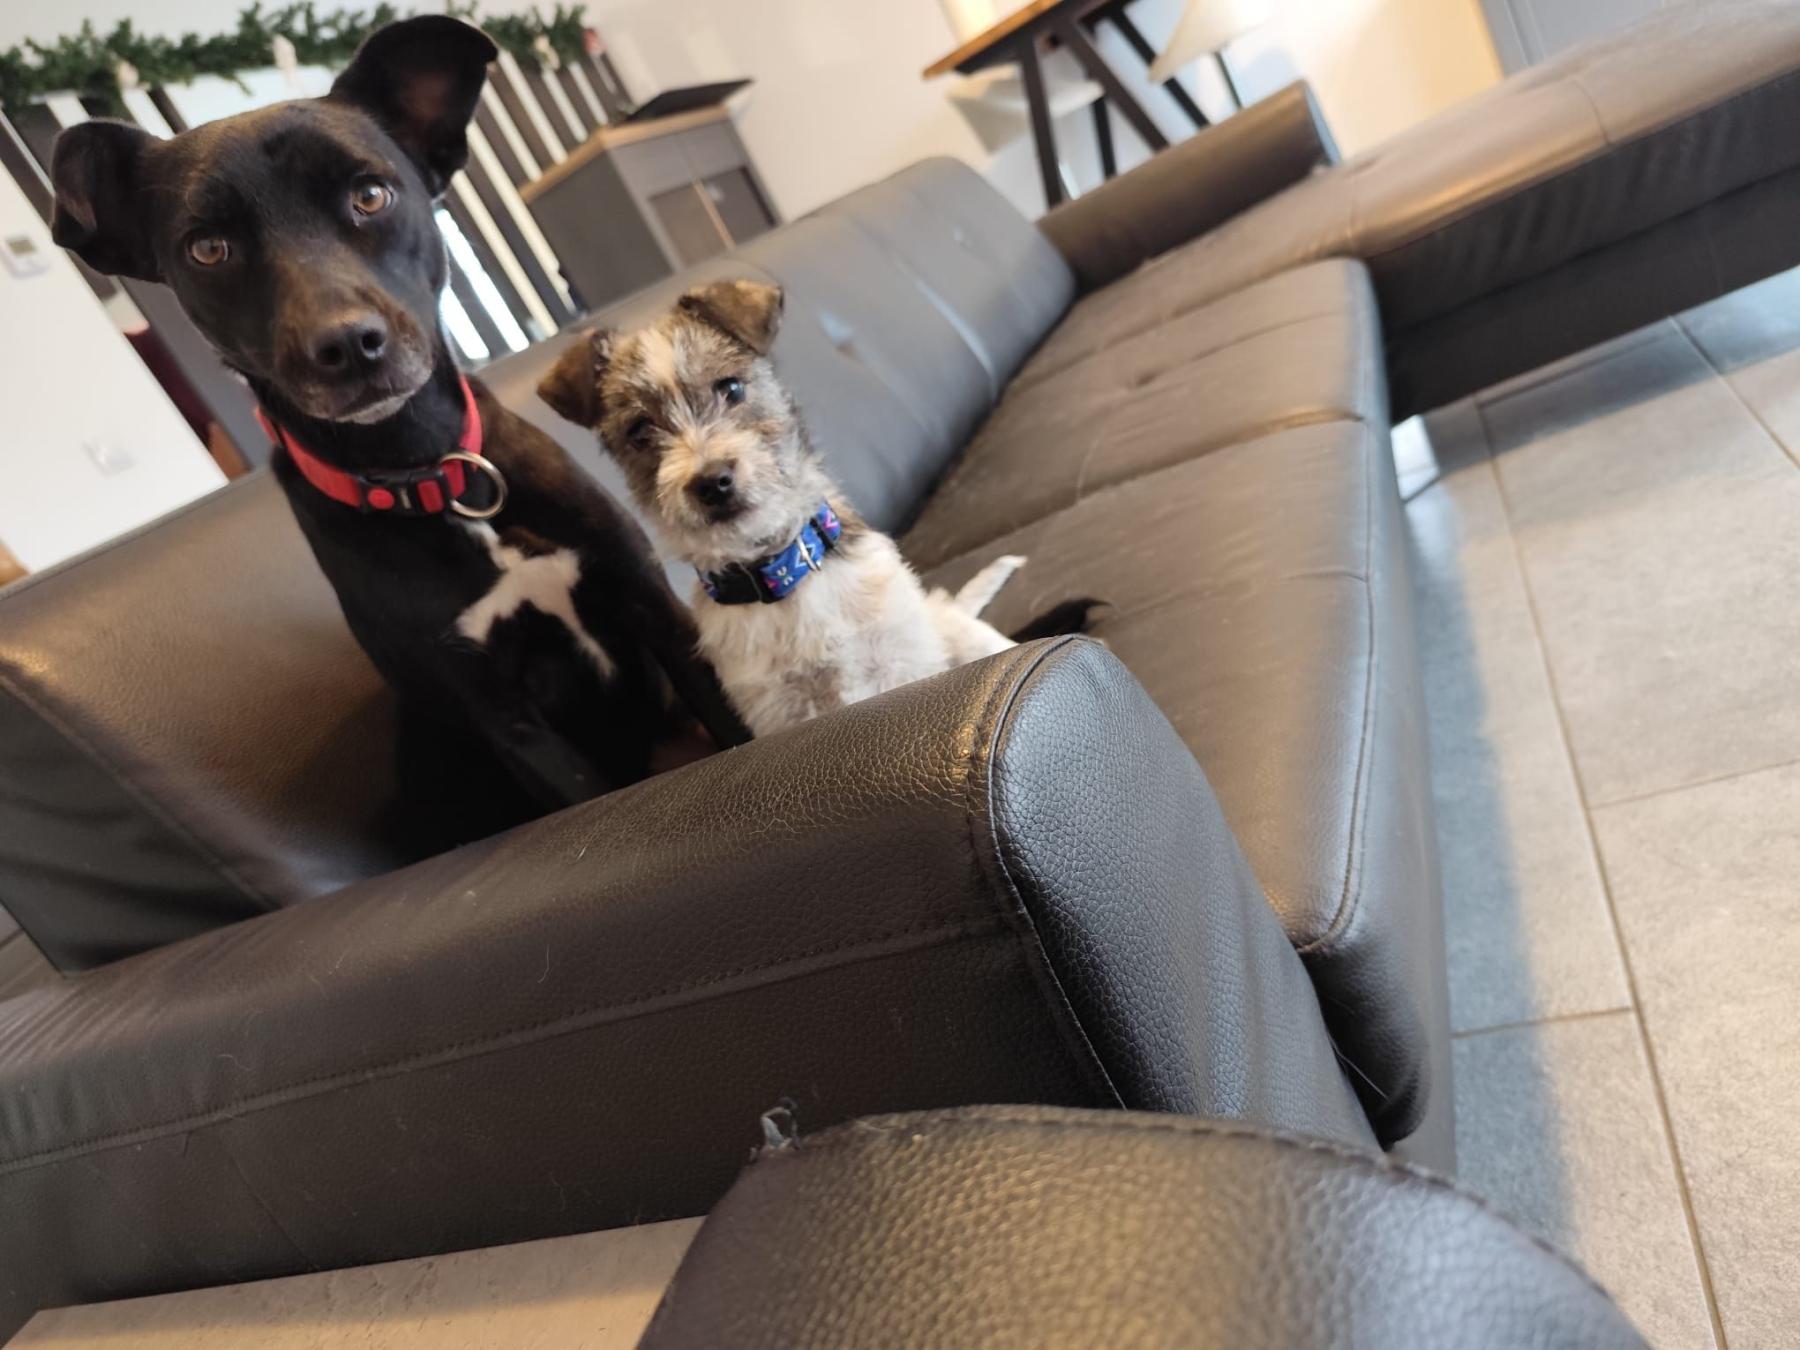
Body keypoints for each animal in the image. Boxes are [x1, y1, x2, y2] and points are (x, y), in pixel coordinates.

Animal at [48, 17, 749, 838]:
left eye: (371, 194)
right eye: (207, 248)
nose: (347, 345)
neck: (428, 465)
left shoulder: (654, 606)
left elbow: (736, 722)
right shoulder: (503, 715)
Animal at [537, 280, 1099, 737]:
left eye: (731, 388)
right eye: (639, 431)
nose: (712, 482)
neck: (785, 574)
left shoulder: (906, 667)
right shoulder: (778, 713)